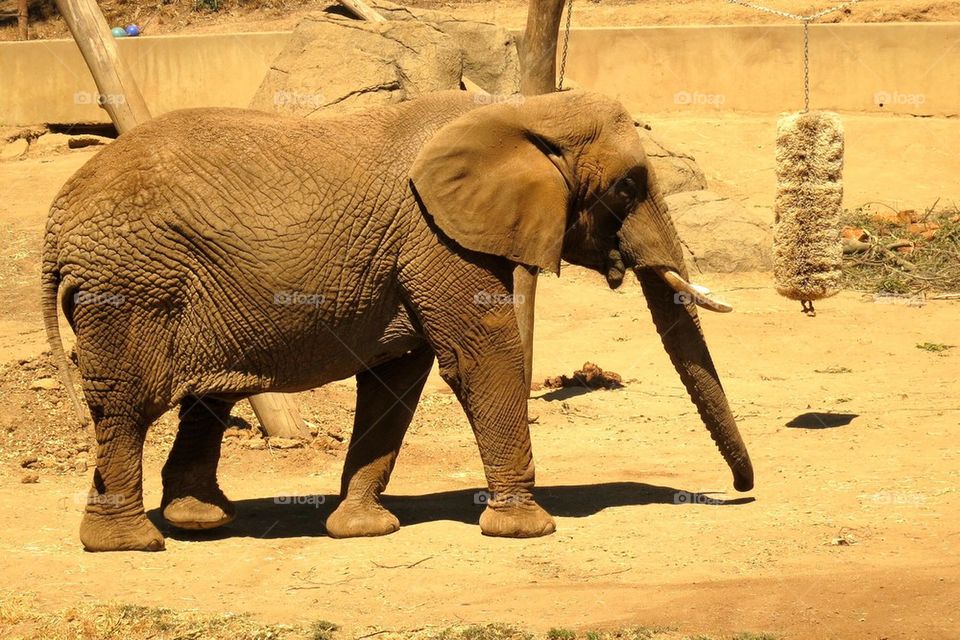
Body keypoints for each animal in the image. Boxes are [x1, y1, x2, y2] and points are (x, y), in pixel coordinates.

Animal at [42, 89, 754, 552]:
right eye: (629, 188)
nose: (741, 491)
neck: (522, 107)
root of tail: (57, 219)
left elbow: (397, 379)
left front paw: (361, 529)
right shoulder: (436, 237)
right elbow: (479, 358)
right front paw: (527, 529)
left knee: (205, 397)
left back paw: (198, 521)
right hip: (127, 287)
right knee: (127, 403)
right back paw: (129, 542)